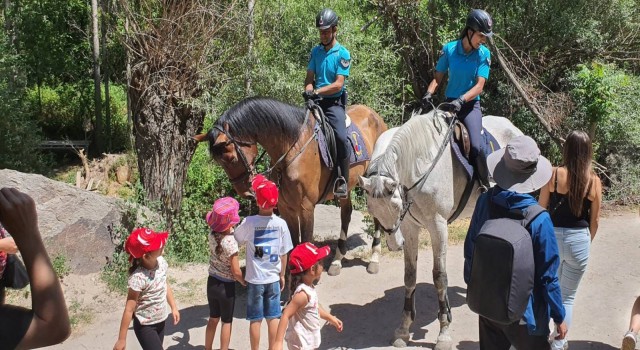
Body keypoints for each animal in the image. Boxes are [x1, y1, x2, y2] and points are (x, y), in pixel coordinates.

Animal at [192, 97, 388, 274]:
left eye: (231, 159)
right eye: (219, 163)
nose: (245, 192)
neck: (292, 149)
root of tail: (375, 115)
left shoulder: (307, 207)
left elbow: (306, 241)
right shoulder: (286, 208)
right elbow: (293, 244)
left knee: (377, 214)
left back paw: (374, 259)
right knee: (346, 213)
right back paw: (337, 261)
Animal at [358, 108, 524, 348]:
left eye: (396, 205)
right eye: (371, 209)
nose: (395, 244)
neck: (420, 165)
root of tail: (514, 128)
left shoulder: (438, 226)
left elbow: (439, 277)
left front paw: (443, 332)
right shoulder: (409, 227)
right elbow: (410, 276)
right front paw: (403, 329)